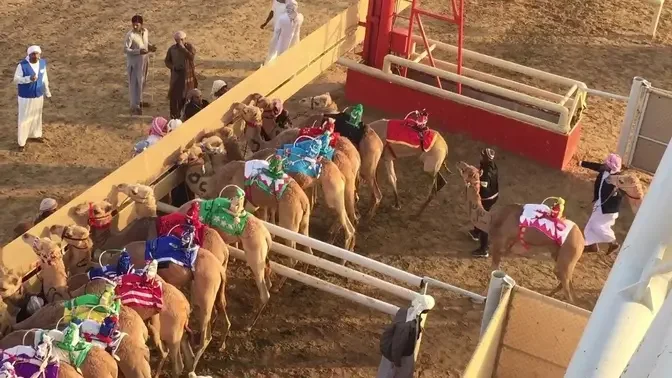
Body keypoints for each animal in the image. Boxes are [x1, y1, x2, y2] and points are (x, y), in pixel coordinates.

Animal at [454, 162, 584, 304]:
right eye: (468, 166)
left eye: (466, 170)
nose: (460, 163)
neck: (492, 219)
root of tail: (582, 240)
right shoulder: (507, 247)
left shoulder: (498, 243)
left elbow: (493, 270)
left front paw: (480, 298)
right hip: (557, 253)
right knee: (566, 281)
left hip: (568, 254)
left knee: (569, 292)